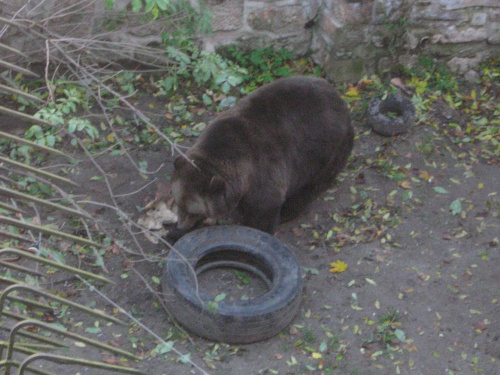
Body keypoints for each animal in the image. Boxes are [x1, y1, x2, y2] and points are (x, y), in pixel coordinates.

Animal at [170, 76, 354, 241]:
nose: (181, 224)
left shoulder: (263, 170)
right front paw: (174, 234)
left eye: (194, 211)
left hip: (325, 152)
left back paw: (288, 211)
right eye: (178, 204)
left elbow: (265, 209)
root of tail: (340, 100)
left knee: (311, 186)